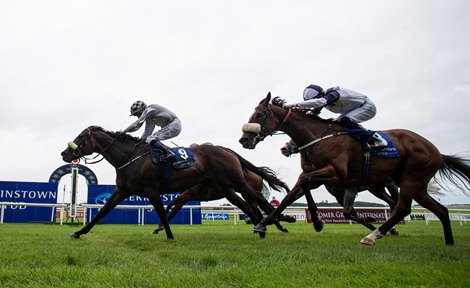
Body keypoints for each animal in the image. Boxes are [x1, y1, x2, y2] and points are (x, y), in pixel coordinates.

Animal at [60, 125, 292, 238]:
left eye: (80, 137)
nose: (64, 153)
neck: (131, 158)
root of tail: (227, 150)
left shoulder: (152, 191)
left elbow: (163, 212)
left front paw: (168, 235)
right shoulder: (122, 191)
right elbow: (102, 211)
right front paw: (78, 232)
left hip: (236, 182)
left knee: (258, 199)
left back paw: (280, 221)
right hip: (228, 188)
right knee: (249, 205)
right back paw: (264, 227)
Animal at [239, 93, 470, 245]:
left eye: (259, 115)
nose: (244, 140)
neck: (317, 138)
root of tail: (437, 152)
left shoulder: (336, 174)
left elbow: (310, 188)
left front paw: (318, 221)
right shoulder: (321, 179)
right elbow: (291, 196)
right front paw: (264, 223)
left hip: (410, 178)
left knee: (402, 207)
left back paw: (373, 235)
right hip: (415, 185)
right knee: (440, 210)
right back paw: (448, 242)